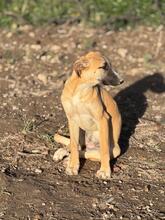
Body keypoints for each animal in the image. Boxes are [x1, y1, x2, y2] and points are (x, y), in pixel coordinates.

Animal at [53, 51, 123, 179]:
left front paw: (105, 171)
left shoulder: (102, 119)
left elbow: (104, 149)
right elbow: (73, 145)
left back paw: (67, 158)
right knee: (74, 146)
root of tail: (89, 145)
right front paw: (73, 166)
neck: (81, 89)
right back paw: (63, 154)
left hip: (115, 150)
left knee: (87, 153)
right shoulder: (72, 120)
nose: (122, 80)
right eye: (104, 66)